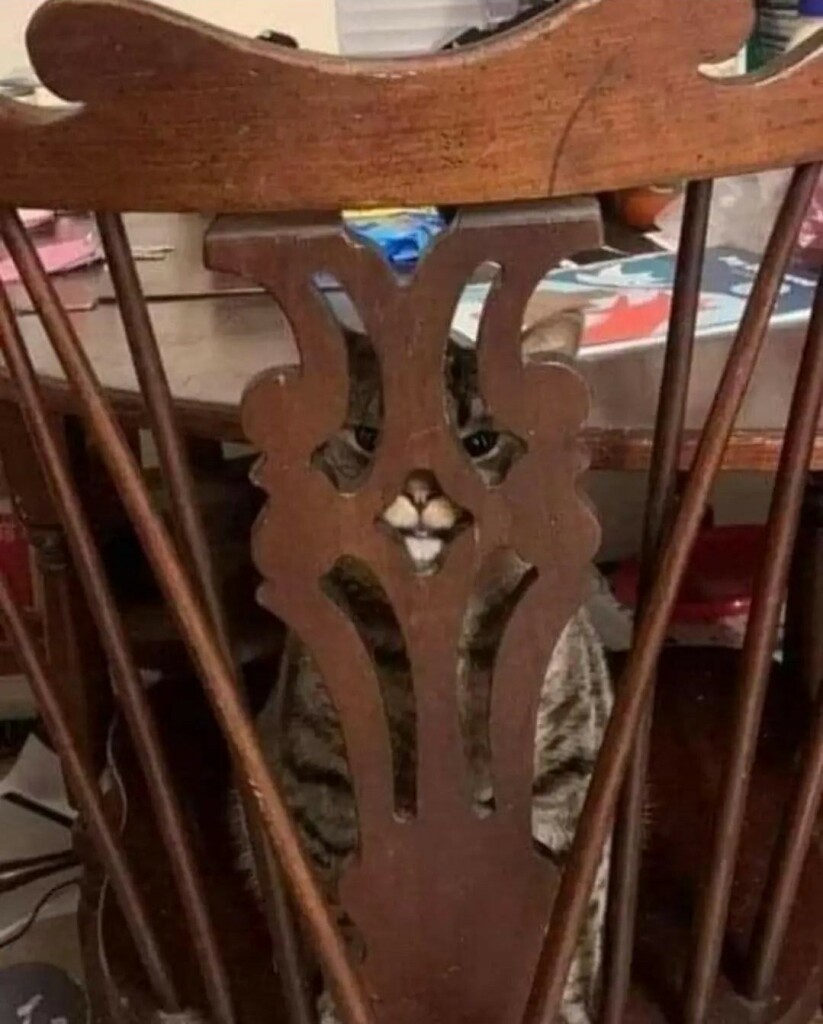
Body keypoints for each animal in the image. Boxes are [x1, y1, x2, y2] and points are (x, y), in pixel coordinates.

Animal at [230, 311, 610, 1024]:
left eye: (480, 442)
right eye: (367, 438)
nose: (418, 489)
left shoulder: (563, 789)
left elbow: (566, 937)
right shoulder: (325, 799)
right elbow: (348, 931)